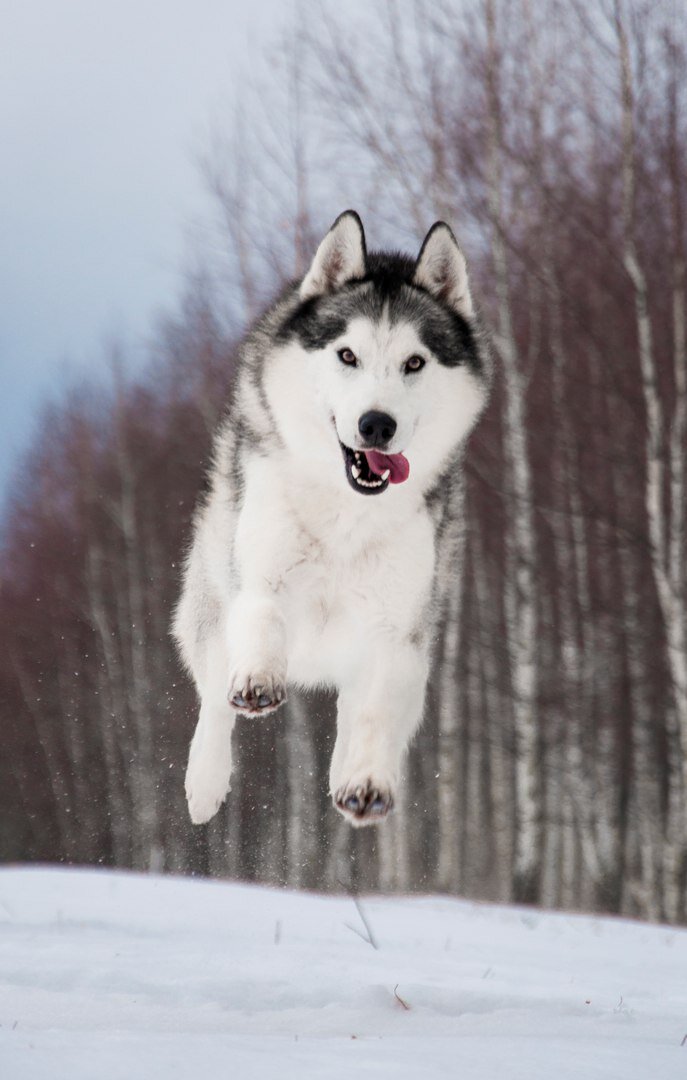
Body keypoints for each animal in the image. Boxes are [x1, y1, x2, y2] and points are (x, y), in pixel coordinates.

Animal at [173, 214, 490, 829]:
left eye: (414, 363)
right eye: (347, 356)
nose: (376, 424)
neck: (348, 512)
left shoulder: (397, 632)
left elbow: (373, 715)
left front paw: (365, 781)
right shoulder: (260, 578)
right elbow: (262, 622)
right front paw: (258, 681)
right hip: (211, 593)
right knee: (213, 693)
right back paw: (205, 782)